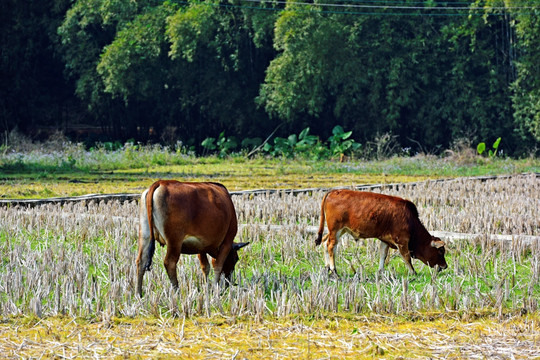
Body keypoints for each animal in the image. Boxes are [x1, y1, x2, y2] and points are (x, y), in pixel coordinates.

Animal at [314, 190, 446, 278]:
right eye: (440, 251)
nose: (445, 266)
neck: (410, 219)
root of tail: (333, 191)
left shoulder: (385, 240)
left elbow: (383, 255)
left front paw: (381, 272)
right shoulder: (402, 241)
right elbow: (407, 257)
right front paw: (413, 272)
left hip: (338, 231)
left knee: (325, 242)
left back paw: (327, 268)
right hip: (336, 230)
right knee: (331, 246)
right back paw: (334, 270)